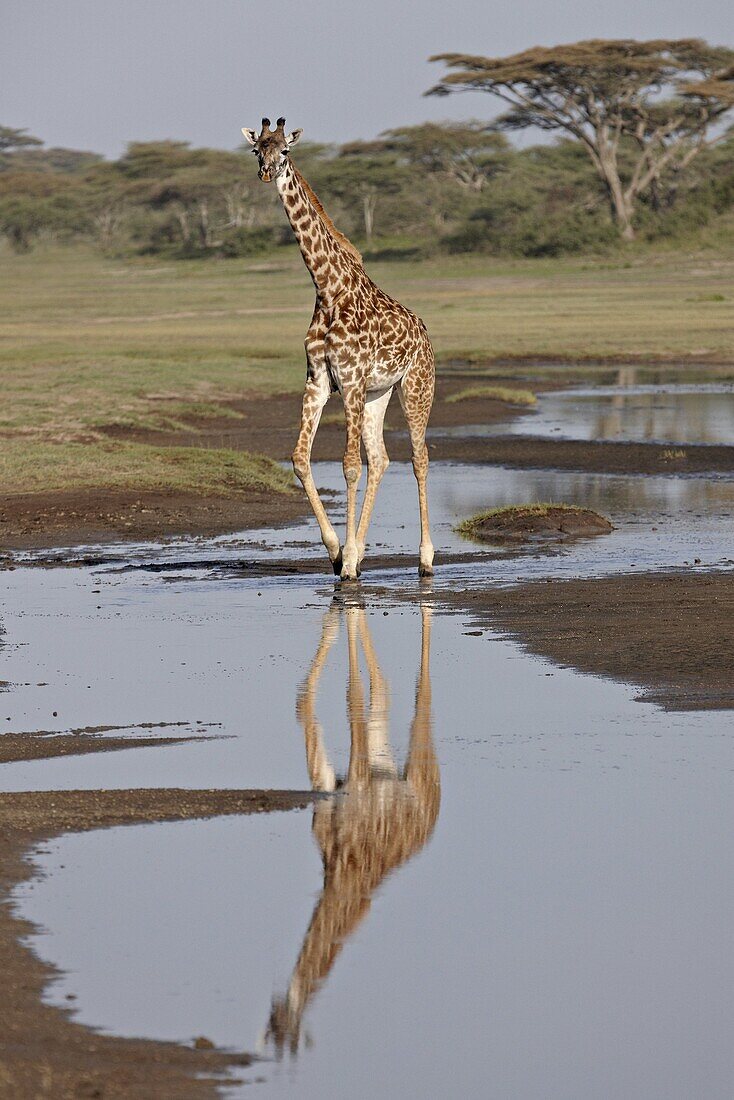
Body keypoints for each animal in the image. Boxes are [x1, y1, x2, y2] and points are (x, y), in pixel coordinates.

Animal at [244, 118, 433, 585]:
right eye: (257, 149)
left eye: (285, 151)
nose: (267, 173)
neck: (327, 289)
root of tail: (424, 332)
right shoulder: (319, 380)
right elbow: (300, 458)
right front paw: (337, 552)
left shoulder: (348, 379)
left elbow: (349, 465)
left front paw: (346, 565)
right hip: (377, 394)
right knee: (381, 459)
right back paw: (360, 551)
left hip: (415, 387)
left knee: (418, 458)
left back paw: (425, 559)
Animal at [267, 602, 440, 1056]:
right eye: (275, 1025)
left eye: (289, 1028)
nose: (284, 1000)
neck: (340, 870)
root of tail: (433, 817)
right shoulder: (332, 790)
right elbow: (306, 703)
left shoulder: (356, 780)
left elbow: (350, 698)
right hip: (383, 756)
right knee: (383, 692)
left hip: (419, 762)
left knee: (418, 697)